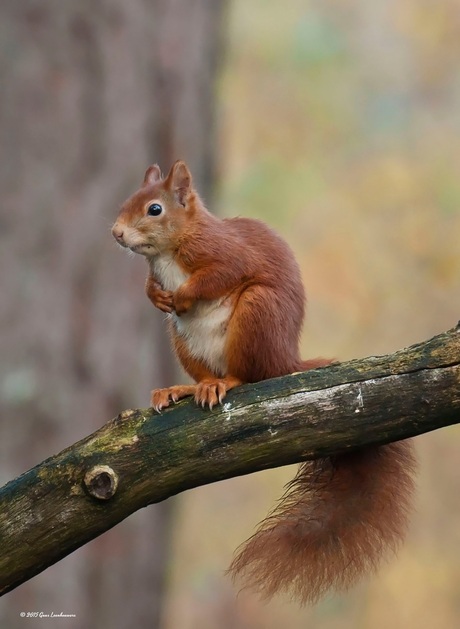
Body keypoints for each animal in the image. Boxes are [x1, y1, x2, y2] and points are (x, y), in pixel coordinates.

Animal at [112, 159, 416, 600]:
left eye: (155, 209)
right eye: (127, 201)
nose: (116, 233)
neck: (170, 250)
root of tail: (285, 360)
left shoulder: (225, 253)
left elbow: (219, 274)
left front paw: (183, 294)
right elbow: (153, 288)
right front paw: (155, 294)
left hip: (257, 312)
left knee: (250, 376)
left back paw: (224, 383)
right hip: (182, 339)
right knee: (205, 371)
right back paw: (184, 387)